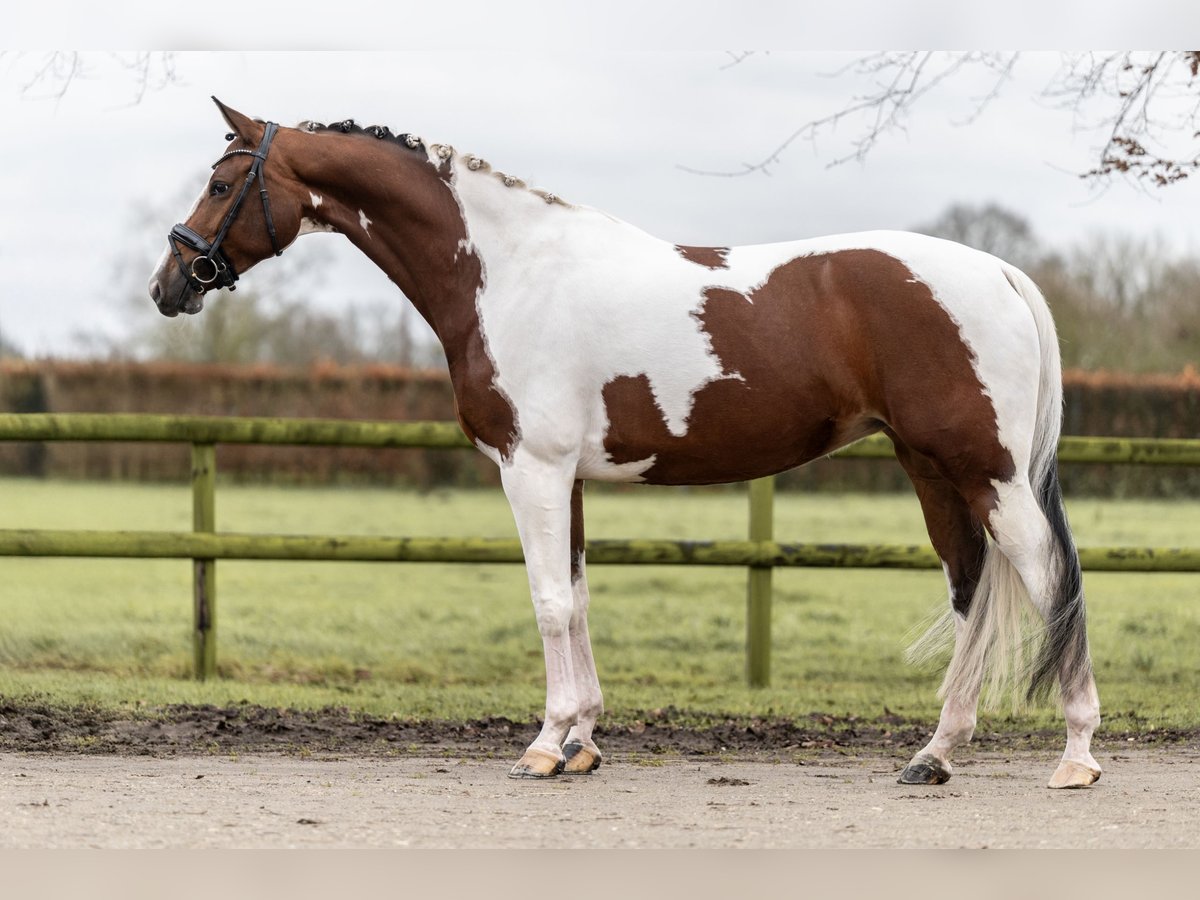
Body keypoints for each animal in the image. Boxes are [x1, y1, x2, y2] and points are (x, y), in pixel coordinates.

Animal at [145, 98, 1099, 787]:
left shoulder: (530, 471)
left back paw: (1076, 756)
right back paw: (933, 756)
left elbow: (547, 602)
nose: (170, 284)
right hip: (932, 470)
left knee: (1048, 576)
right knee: (972, 590)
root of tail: (1000, 272)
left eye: (223, 185)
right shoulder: (564, 478)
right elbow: (576, 597)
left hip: (988, 473)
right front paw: (582, 743)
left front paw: (544, 746)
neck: (507, 272)